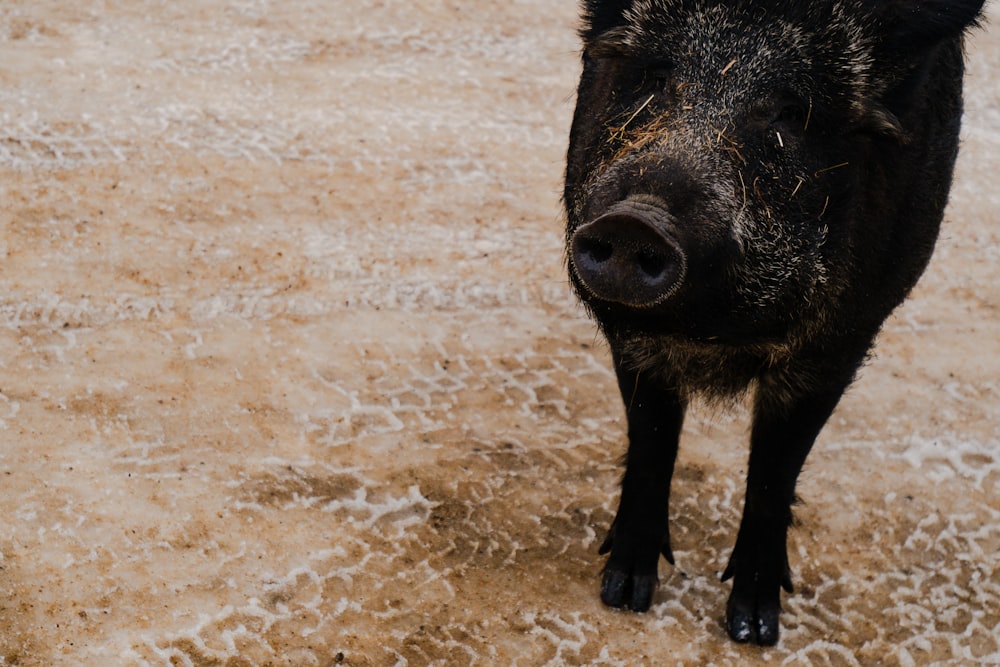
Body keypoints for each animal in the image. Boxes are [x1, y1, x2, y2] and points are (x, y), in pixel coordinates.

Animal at [564, 0, 984, 648]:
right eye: (657, 77)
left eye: (790, 112)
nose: (636, 219)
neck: (715, 333)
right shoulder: (632, 337)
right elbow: (652, 438)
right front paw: (624, 597)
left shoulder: (841, 341)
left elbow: (775, 468)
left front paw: (754, 631)